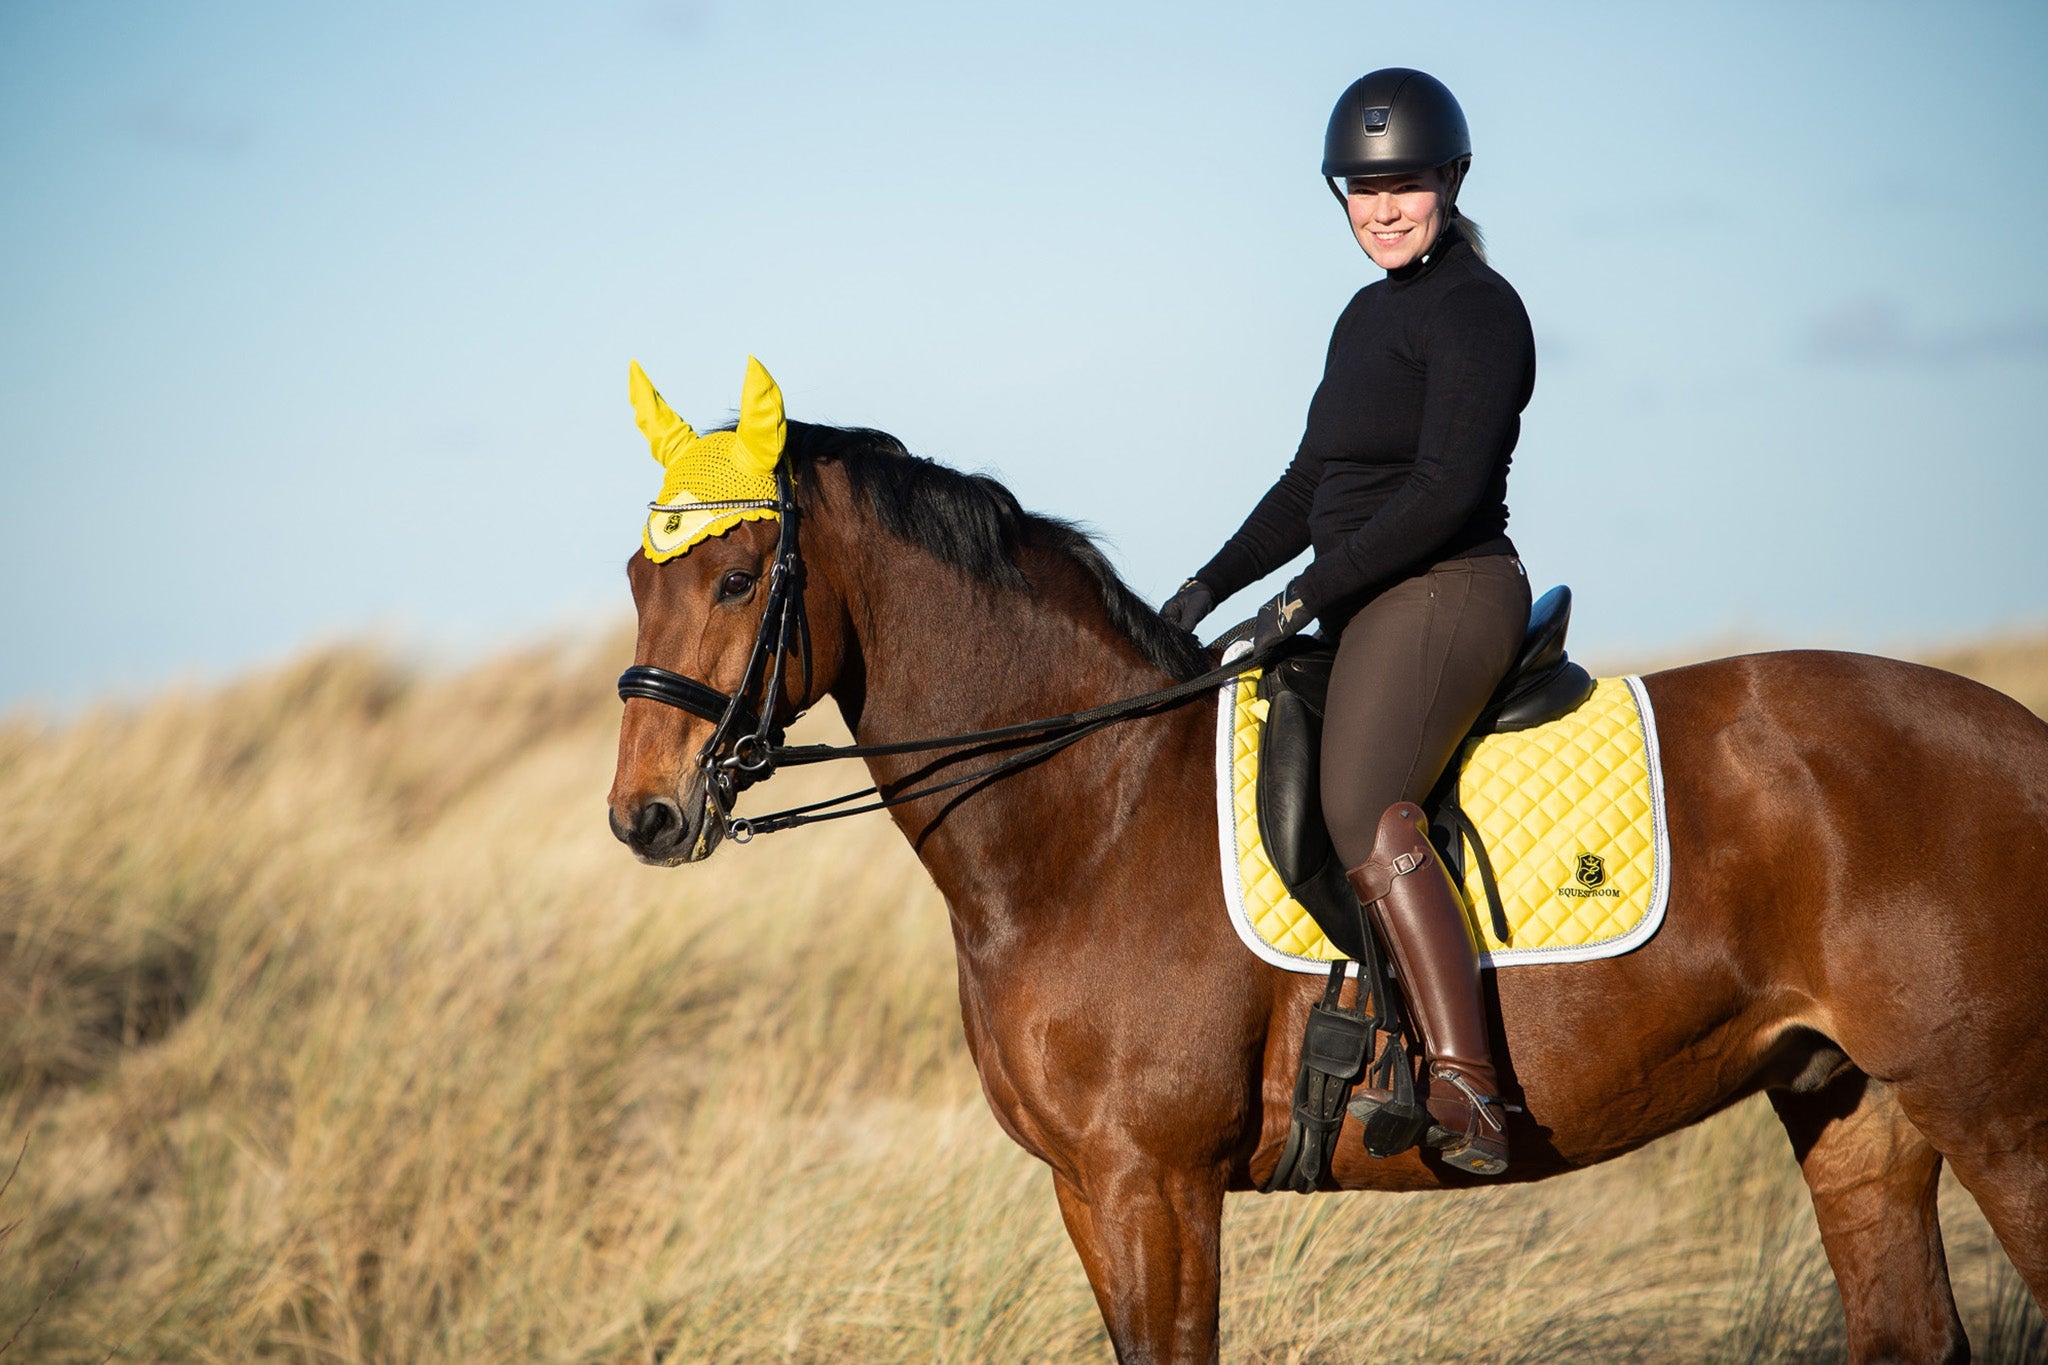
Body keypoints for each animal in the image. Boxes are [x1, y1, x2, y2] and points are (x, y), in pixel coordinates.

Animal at [606, 418, 2048, 1364]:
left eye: (736, 577)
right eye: (636, 577)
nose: (646, 815)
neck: (1092, 809)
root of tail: (2021, 740)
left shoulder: (1154, 1185)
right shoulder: (1089, 1191)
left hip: (1996, 1114)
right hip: (1854, 1106)